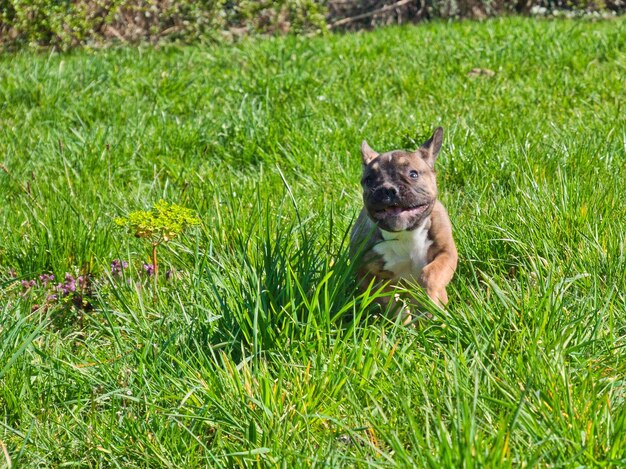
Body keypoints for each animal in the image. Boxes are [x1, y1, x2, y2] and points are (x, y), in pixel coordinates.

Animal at [348, 128, 456, 316]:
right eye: (368, 180)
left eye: (413, 174)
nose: (387, 189)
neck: (405, 234)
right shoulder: (366, 273)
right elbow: (388, 301)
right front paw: (402, 317)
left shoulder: (446, 253)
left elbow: (431, 275)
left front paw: (429, 304)